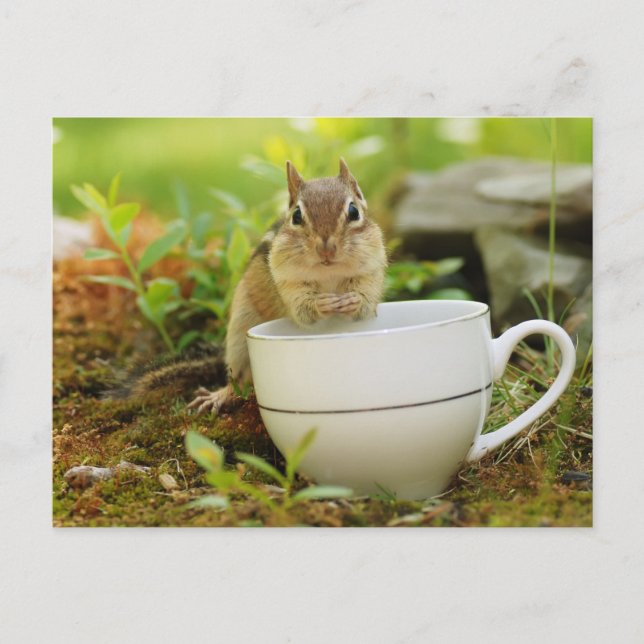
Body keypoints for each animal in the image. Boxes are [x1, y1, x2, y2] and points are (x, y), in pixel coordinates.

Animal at [186, 158, 387, 414]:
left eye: (354, 211)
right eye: (297, 216)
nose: (326, 249)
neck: (328, 272)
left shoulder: (370, 272)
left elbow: (365, 304)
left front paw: (353, 300)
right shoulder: (287, 281)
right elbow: (302, 310)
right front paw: (322, 303)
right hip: (239, 331)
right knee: (239, 379)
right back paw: (219, 396)